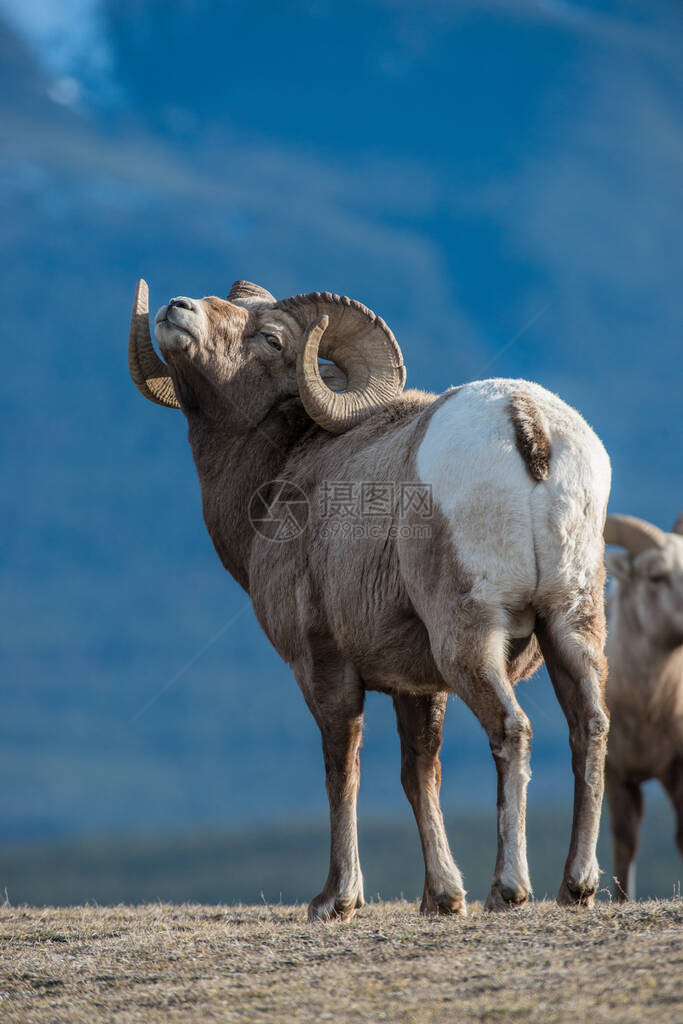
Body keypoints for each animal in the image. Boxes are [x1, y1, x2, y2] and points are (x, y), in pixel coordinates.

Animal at [129, 278, 614, 921]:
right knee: (590, 726)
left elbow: (344, 772)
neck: (279, 478)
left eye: (271, 338)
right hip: (571, 625)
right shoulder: (418, 685)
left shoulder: (324, 667)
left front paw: (336, 899)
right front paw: (441, 898)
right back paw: (574, 887)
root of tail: (525, 420)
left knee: (512, 729)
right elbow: (420, 774)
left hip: (469, 640)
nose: (175, 309)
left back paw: (507, 889)